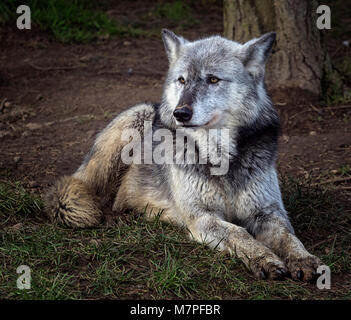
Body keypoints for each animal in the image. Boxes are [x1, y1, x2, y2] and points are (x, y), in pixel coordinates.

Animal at [45, 29, 324, 280]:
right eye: (181, 80)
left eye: (213, 80)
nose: (180, 113)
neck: (220, 158)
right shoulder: (202, 216)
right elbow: (239, 233)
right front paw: (265, 258)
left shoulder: (268, 211)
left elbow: (289, 237)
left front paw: (304, 259)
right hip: (136, 119)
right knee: (87, 189)